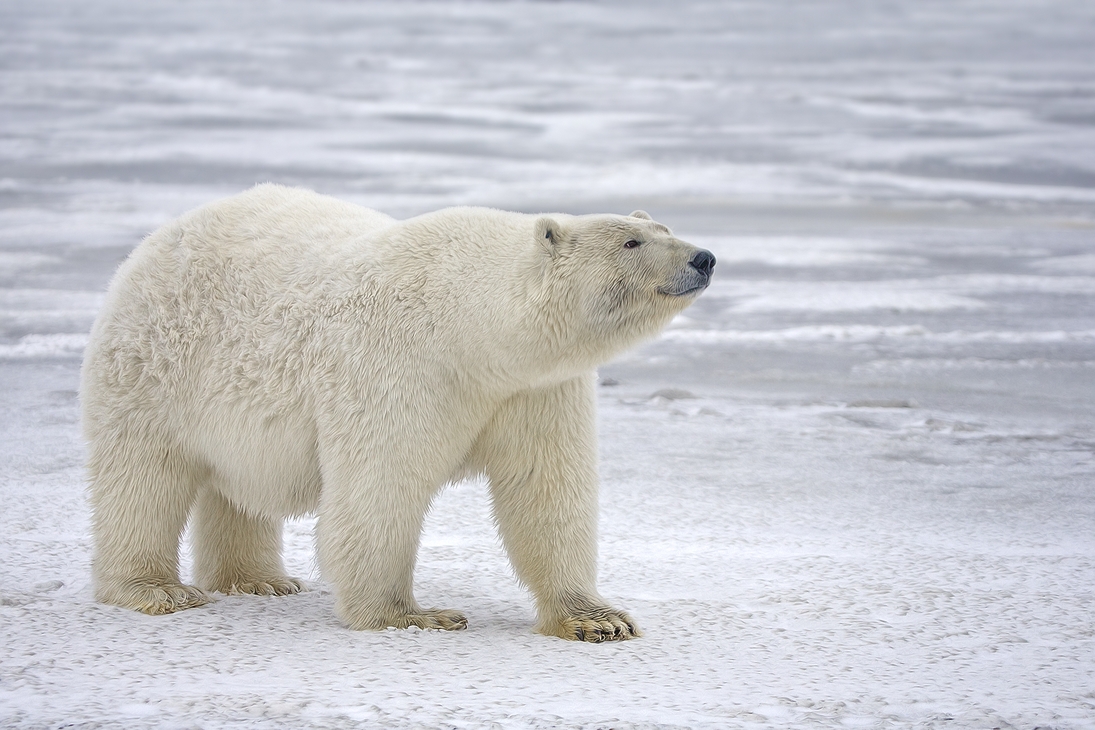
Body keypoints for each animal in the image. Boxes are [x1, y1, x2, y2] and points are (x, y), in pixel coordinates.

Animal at [81, 186, 713, 643]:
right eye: (631, 242)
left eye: (663, 228)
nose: (704, 257)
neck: (472, 328)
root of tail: (157, 239)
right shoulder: (400, 362)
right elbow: (381, 485)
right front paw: (412, 616)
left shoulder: (535, 388)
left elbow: (545, 489)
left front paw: (598, 619)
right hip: (155, 368)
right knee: (143, 479)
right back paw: (157, 590)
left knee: (236, 491)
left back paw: (260, 580)